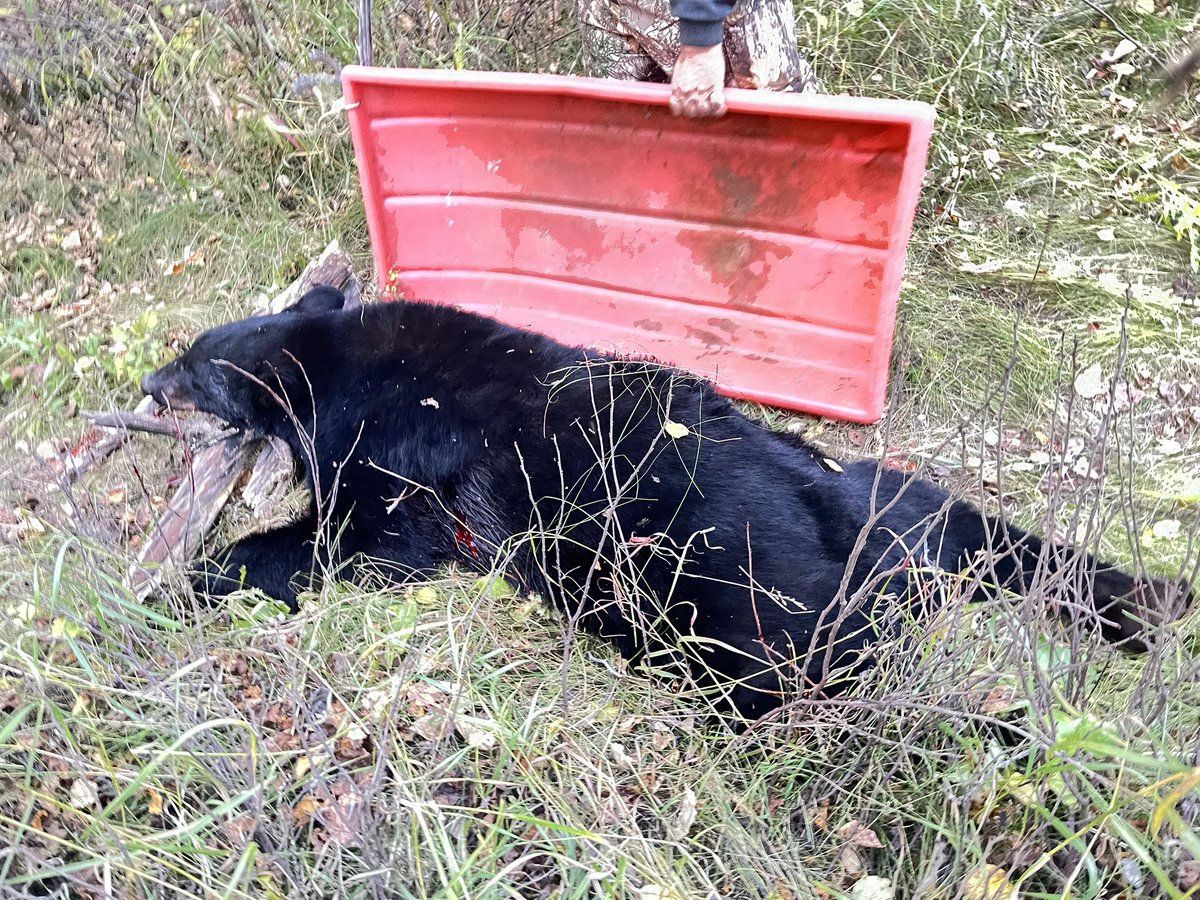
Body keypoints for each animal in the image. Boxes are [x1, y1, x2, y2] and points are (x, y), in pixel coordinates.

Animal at [140, 287, 1193, 720]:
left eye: (192, 366)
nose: (149, 382)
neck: (336, 361)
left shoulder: (401, 469)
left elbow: (350, 536)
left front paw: (190, 579)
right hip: (876, 492)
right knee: (965, 528)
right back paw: (1142, 604)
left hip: (728, 606)